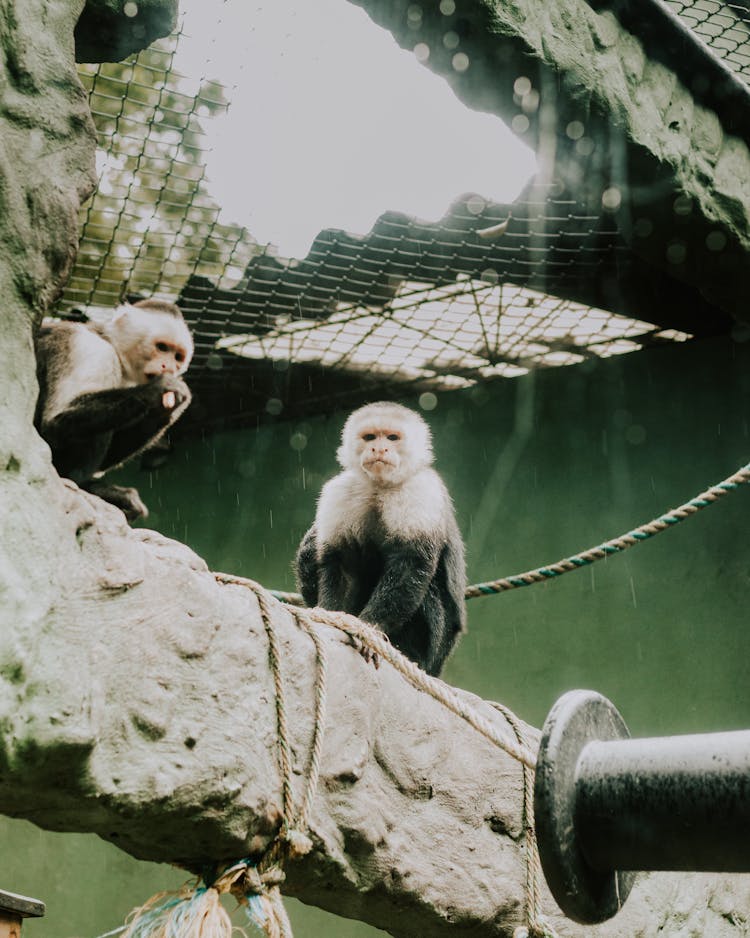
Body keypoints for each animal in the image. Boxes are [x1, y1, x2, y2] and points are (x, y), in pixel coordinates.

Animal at [35, 298, 194, 520]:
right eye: (162, 347)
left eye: (178, 357)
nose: (169, 367)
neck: (111, 345)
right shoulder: (91, 349)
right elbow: (55, 423)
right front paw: (159, 389)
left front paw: (171, 406)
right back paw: (84, 485)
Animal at [296, 400, 468, 672]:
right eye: (369, 437)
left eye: (392, 437)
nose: (379, 447)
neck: (380, 486)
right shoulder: (339, 491)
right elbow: (336, 559)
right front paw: (331, 616)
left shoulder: (420, 490)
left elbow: (411, 563)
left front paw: (370, 628)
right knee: (312, 548)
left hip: (437, 649)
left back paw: (408, 653)